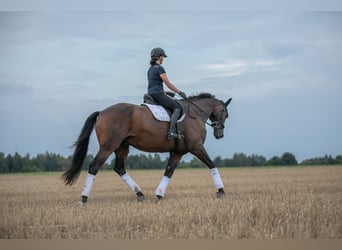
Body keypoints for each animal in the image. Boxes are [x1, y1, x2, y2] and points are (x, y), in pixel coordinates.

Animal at [61, 93, 232, 203]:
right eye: (225, 114)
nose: (220, 134)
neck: (195, 113)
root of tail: (101, 112)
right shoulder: (196, 147)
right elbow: (212, 164)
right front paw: (221, 192)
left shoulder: (177, 152)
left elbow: (168, 172)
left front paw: (159, 195)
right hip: (108, 147)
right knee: (94, 166)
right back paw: (84, 198)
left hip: (122, 147)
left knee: (119, 168)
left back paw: (140, 194)